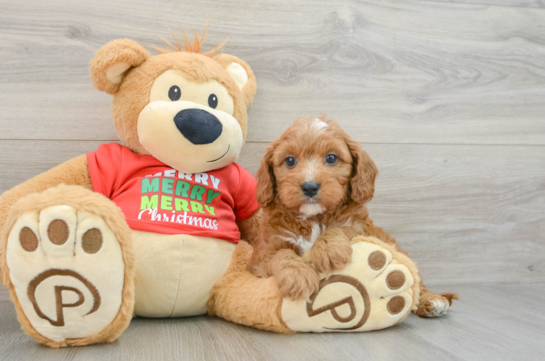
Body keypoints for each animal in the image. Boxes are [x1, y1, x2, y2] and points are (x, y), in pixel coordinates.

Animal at [249, 116, 456, 316]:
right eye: (290, 161)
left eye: (331, 158)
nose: (309, 187)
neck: (314, 218)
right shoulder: (263, 251)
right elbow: (279, 254)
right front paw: (297, 276)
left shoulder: (359, 226)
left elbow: (341, 227)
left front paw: (327, 249)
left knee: (415, 280)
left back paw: (432, 300)